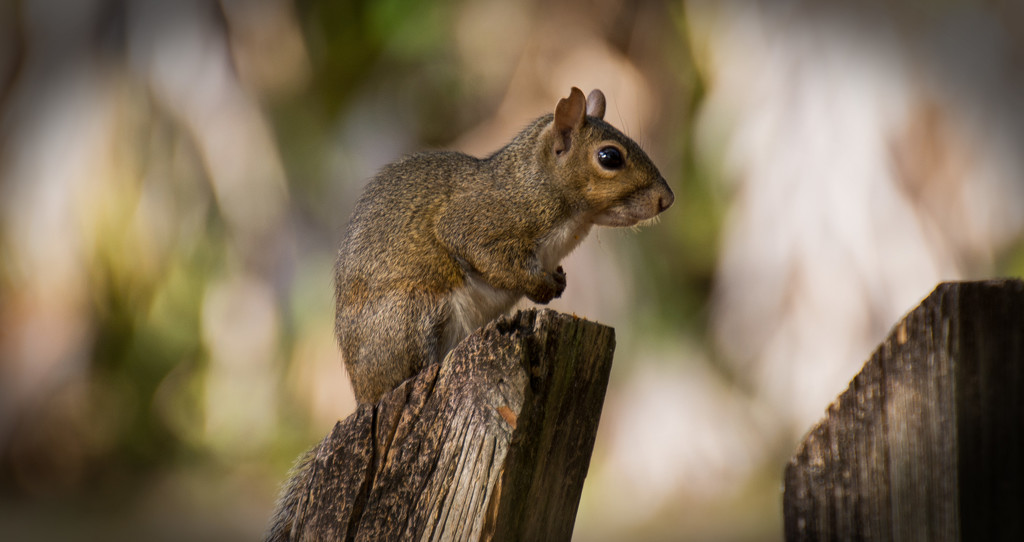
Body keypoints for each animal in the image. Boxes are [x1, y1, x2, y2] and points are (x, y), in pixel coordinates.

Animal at [335, 87, 671, 401]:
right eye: (610, 157)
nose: (667, 199)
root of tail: (363, 391)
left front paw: (558, 280)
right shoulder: (478, 221)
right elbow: (485, 255)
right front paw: (540, 286)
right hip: (411, 315)